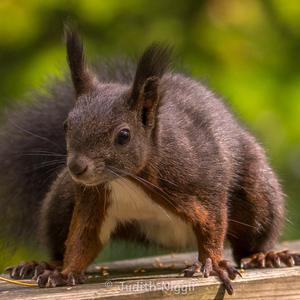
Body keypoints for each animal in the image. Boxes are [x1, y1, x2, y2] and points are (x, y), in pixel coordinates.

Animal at [1, 28, 298, 296]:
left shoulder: (204, 178)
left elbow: (212, 223)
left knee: (251, 238)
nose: (76, 167)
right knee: (59, 238)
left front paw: (212, 263)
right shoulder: (93, 198)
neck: (130, 178)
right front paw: (65, 273)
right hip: (61, 199)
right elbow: (82, 238)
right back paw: (44, 265)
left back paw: (265, 256)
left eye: (123, 135)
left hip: (257, 189)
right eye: (66, 125)